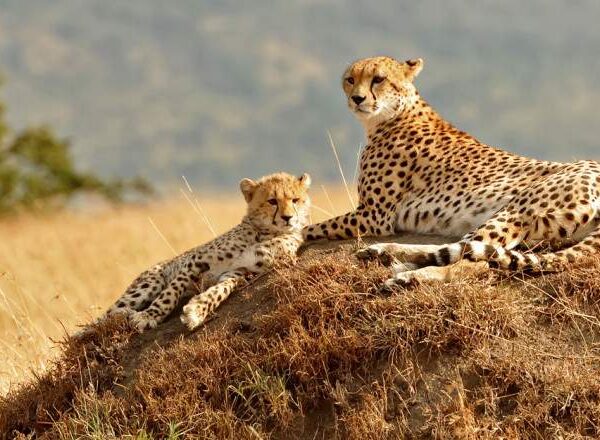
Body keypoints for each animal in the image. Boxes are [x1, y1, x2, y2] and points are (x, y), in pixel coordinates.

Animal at [99, 172, 311, 332]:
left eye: (295, 200)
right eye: (272, 201)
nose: (288, 218)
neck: (265, 233)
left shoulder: (240, 272)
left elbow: (220, 290)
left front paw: (197, 309)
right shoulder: (195, 261)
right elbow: (171, 292)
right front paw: (149, 315)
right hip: (149, 283)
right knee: (102, 319)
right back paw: (122, 314)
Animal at [303, 55, 600, 288]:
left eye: (378, 79)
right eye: (350, 79)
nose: (357, 98)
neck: (394, 114)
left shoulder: (373, 216)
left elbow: (312, 227)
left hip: (516, 210)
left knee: (477, 260)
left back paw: (412, 275)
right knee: (467, 249)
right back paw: (386, 254)